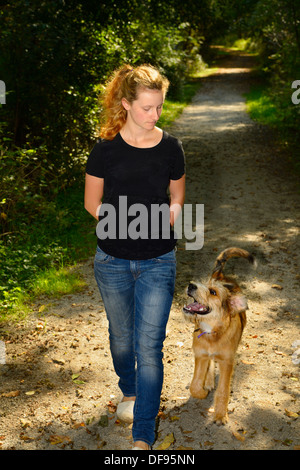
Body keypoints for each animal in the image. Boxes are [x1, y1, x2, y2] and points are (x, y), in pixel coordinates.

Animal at [183, 248, 255, 424]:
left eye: (213, 292)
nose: (191, 285)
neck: (212, 331)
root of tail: (221, 275)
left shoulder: (227, 362)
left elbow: (223, 390)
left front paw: (221, 415)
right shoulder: (200, 355)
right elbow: (195, 384)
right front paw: (202, 393)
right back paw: (208, 382)